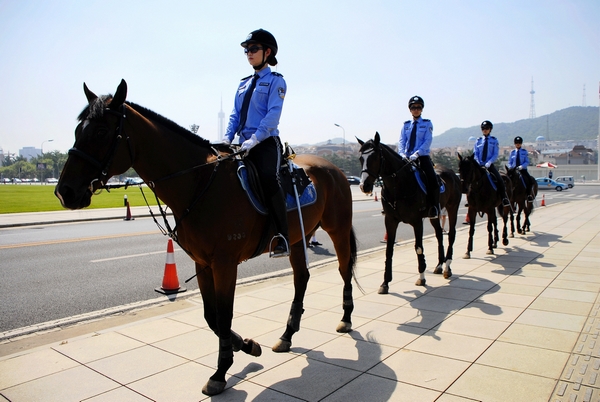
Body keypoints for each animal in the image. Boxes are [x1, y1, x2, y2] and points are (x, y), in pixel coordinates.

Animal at [55, 80, 356, 398]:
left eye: (101, 132)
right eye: (78, 131)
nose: (65, 192)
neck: (198, 182)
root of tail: (335, 168)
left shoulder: (225, 264)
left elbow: (223, 315)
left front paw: (221, 373)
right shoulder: (202, 263)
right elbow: (212, 316)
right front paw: (246, 346)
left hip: (337, 229)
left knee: (343, 268)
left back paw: (346, 318)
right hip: (299, 237)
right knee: (301, 278)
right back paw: (287, 335)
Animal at [356, 133, 464, 290]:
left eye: (374, 157)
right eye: (361, 158)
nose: (364, 186)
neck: (398, 186)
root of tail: (452, 173)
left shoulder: (417, 222)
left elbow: (419, 248)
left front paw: (422, 277)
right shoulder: (390, 220)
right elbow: (389, 249)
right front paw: (385, 283)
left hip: (452, 208)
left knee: (451, 234)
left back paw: (447, 267)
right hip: (434, 215)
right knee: (439, 234)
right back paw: (439, 265)